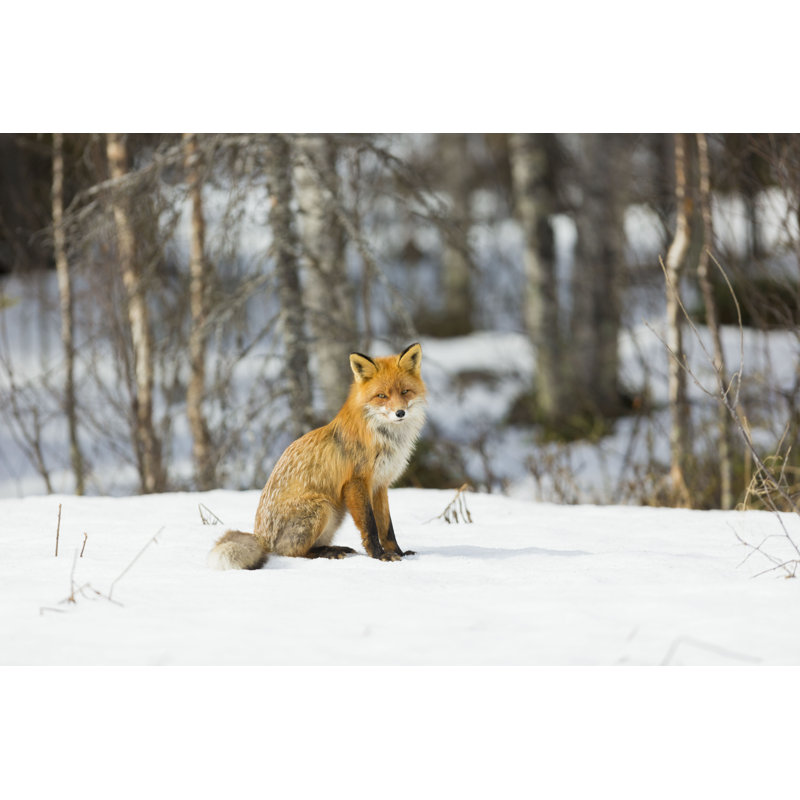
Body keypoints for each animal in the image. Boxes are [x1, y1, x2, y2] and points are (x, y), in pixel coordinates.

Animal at [208, 342, 426, 569]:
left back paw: (335, 548)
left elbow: (386, 527)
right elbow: (370, 525)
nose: (400, 413)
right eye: (382, 396)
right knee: (294, 553)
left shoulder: (380, 484)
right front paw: (379, 555)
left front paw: (398, 553)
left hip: (335, 513)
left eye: (405, 392)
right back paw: (329, 553)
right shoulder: (357, 482)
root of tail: (262, 537)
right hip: (322, 507)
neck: (384, 438)